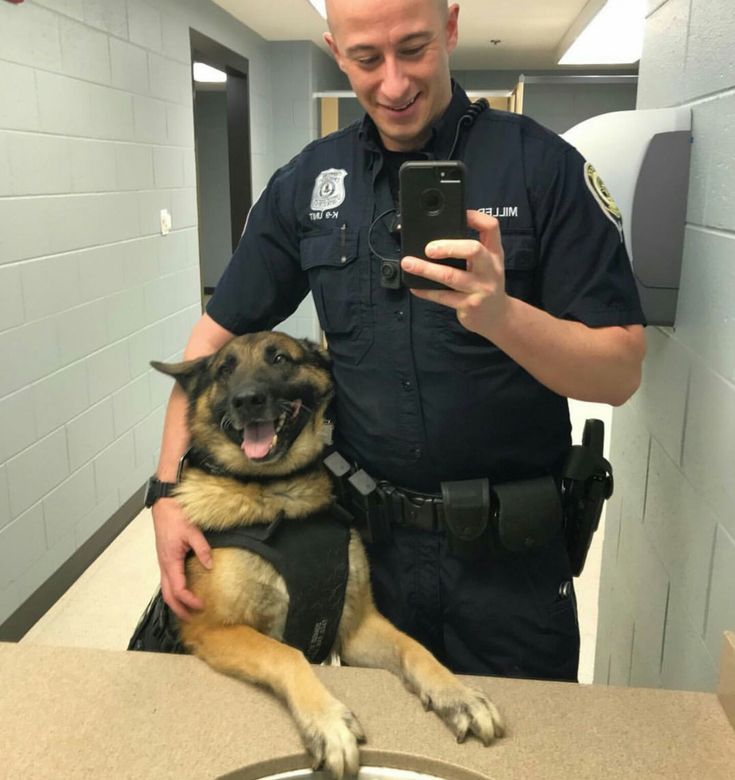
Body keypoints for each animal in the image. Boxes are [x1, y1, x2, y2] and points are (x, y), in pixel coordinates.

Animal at [152, 332, 504, 776]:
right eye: (224, 370)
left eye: (279, 359)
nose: (247, 400)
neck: (280, 495)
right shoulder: (213, 631)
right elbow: (286, 654)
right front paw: (328, 722)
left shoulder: (356, 626)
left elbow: (416, 649)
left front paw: (457, 695)